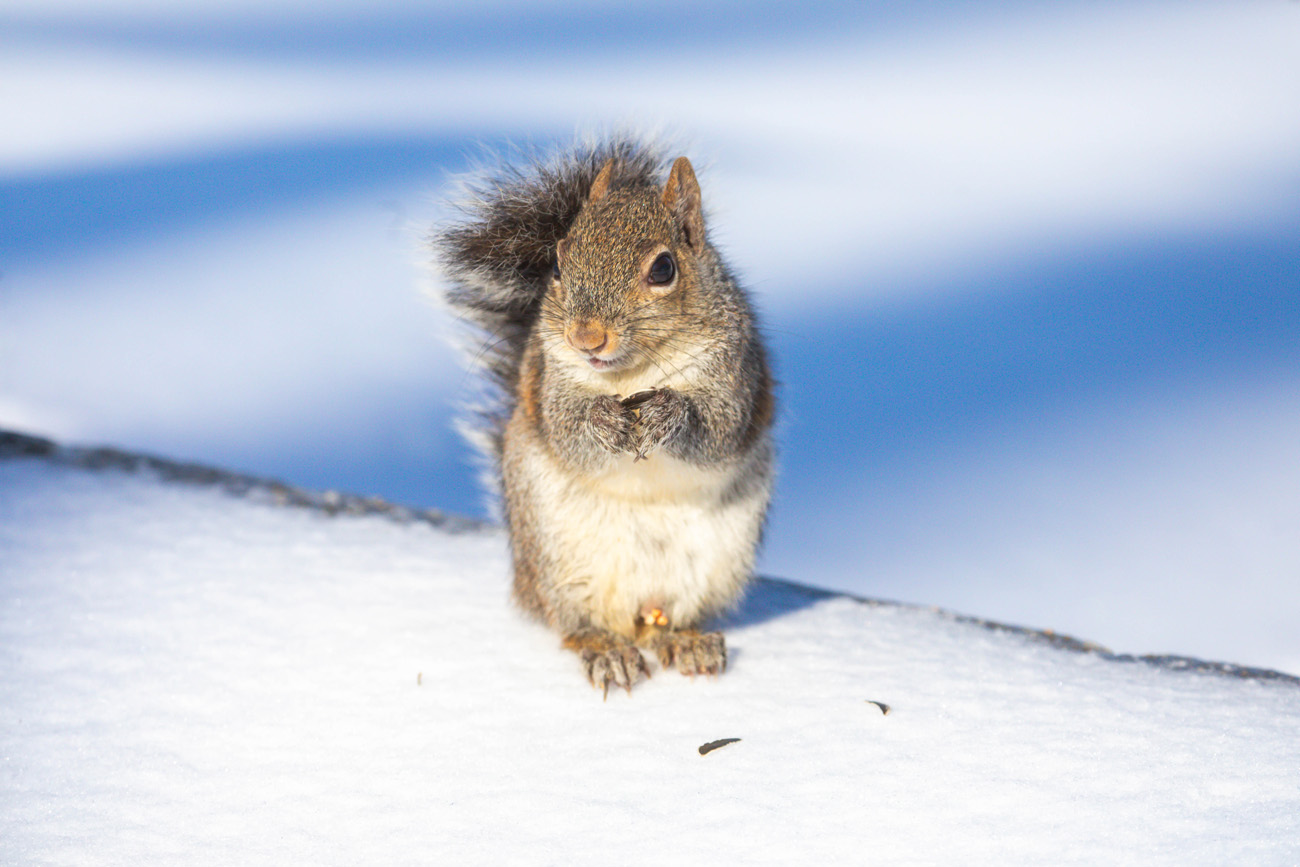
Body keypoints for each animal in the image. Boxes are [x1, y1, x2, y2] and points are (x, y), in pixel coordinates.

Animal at [434, 138, 775, 696]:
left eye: (663, 269)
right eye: (557, 264)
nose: (586, 338)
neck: (632, 373)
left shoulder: (734, 373)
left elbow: (720, 430)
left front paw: (671, 413)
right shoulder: (550, 382)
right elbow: (567, 431)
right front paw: (601, 420)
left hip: (722, 556)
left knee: (669, 621)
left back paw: (685, 641)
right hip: (557, 557)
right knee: (575, 624)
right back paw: (605, 650)